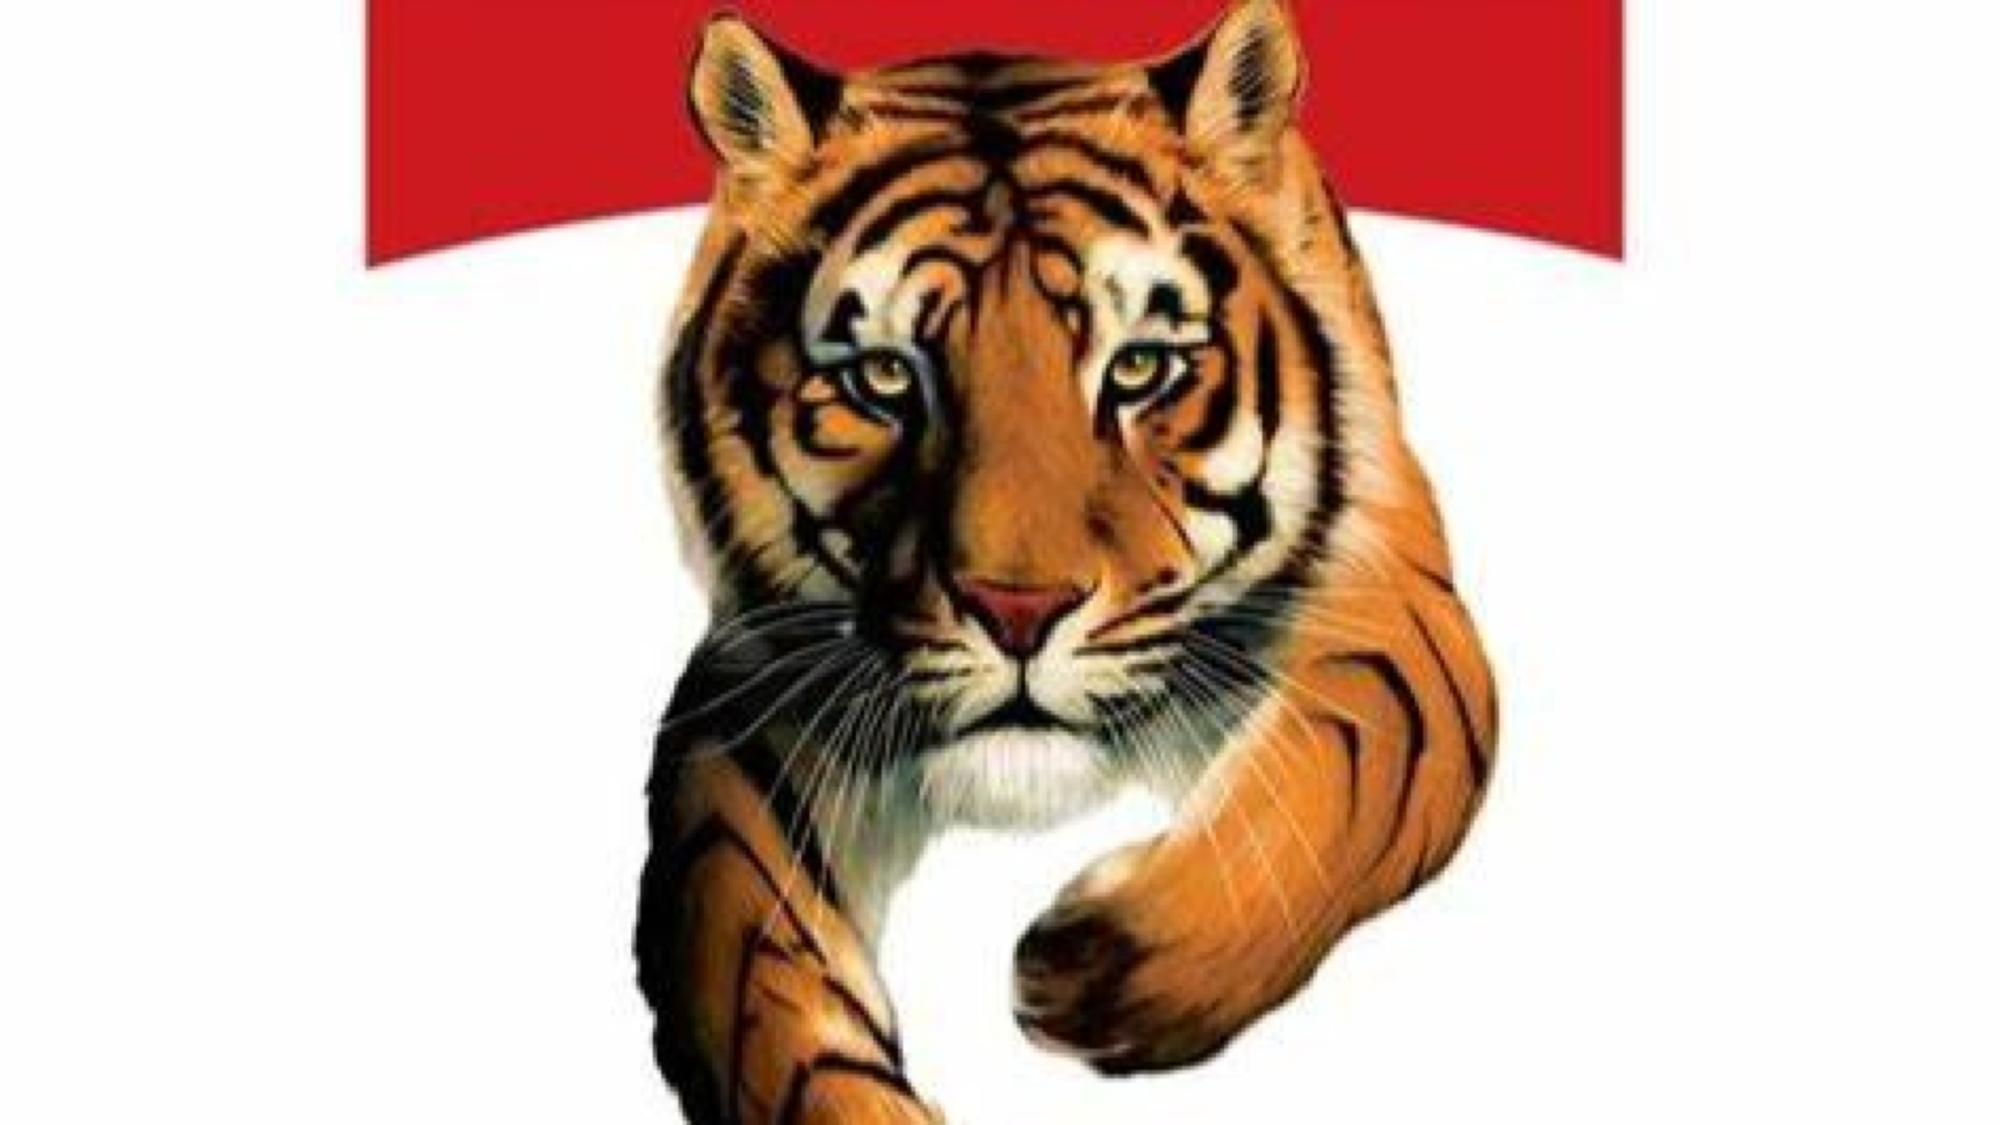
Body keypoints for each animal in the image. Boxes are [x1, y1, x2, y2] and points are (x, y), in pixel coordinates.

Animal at [634, 1, 1498, 1121]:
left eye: (1138, 368)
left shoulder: (1385, 598)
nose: (1016, 609)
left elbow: (1341, 772)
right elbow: (754, 970)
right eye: (884, 378)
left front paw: (1101, 967)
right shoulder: (761, 683)